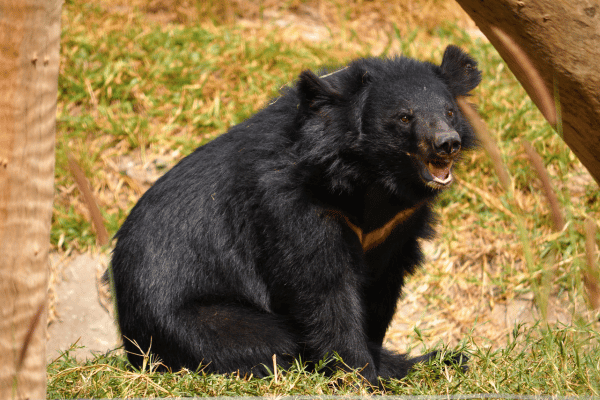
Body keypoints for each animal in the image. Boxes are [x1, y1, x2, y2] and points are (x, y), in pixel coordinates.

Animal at [110, 44, 480, 384]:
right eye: (404, 117)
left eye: (449, 112)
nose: (447, 143)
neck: (369, 178)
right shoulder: (294, 205)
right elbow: (324, 289)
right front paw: (360, 375)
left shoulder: (398, 225)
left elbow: (380, 287)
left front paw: (378, 363)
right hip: (193, 321)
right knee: (269, 341)